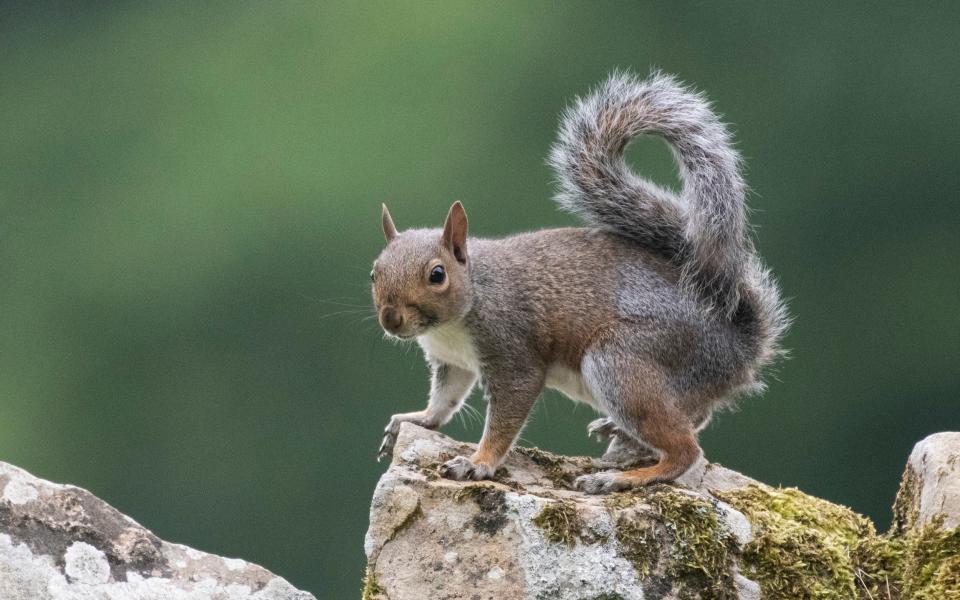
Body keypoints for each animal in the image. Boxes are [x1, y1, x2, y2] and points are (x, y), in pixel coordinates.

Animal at [372, 71, 784, 492]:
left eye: (437, 275)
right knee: (696, 416)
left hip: (622, 362)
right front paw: (415, 419)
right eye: (374, 272)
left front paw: (478, 464)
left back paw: (624, 477)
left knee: (686, 450)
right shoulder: (452, 363)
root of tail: (739, 346)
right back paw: (621, 436)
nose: (390, 319)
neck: (460, 313)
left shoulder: (513, 353)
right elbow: (445, 401)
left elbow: (506, 418)